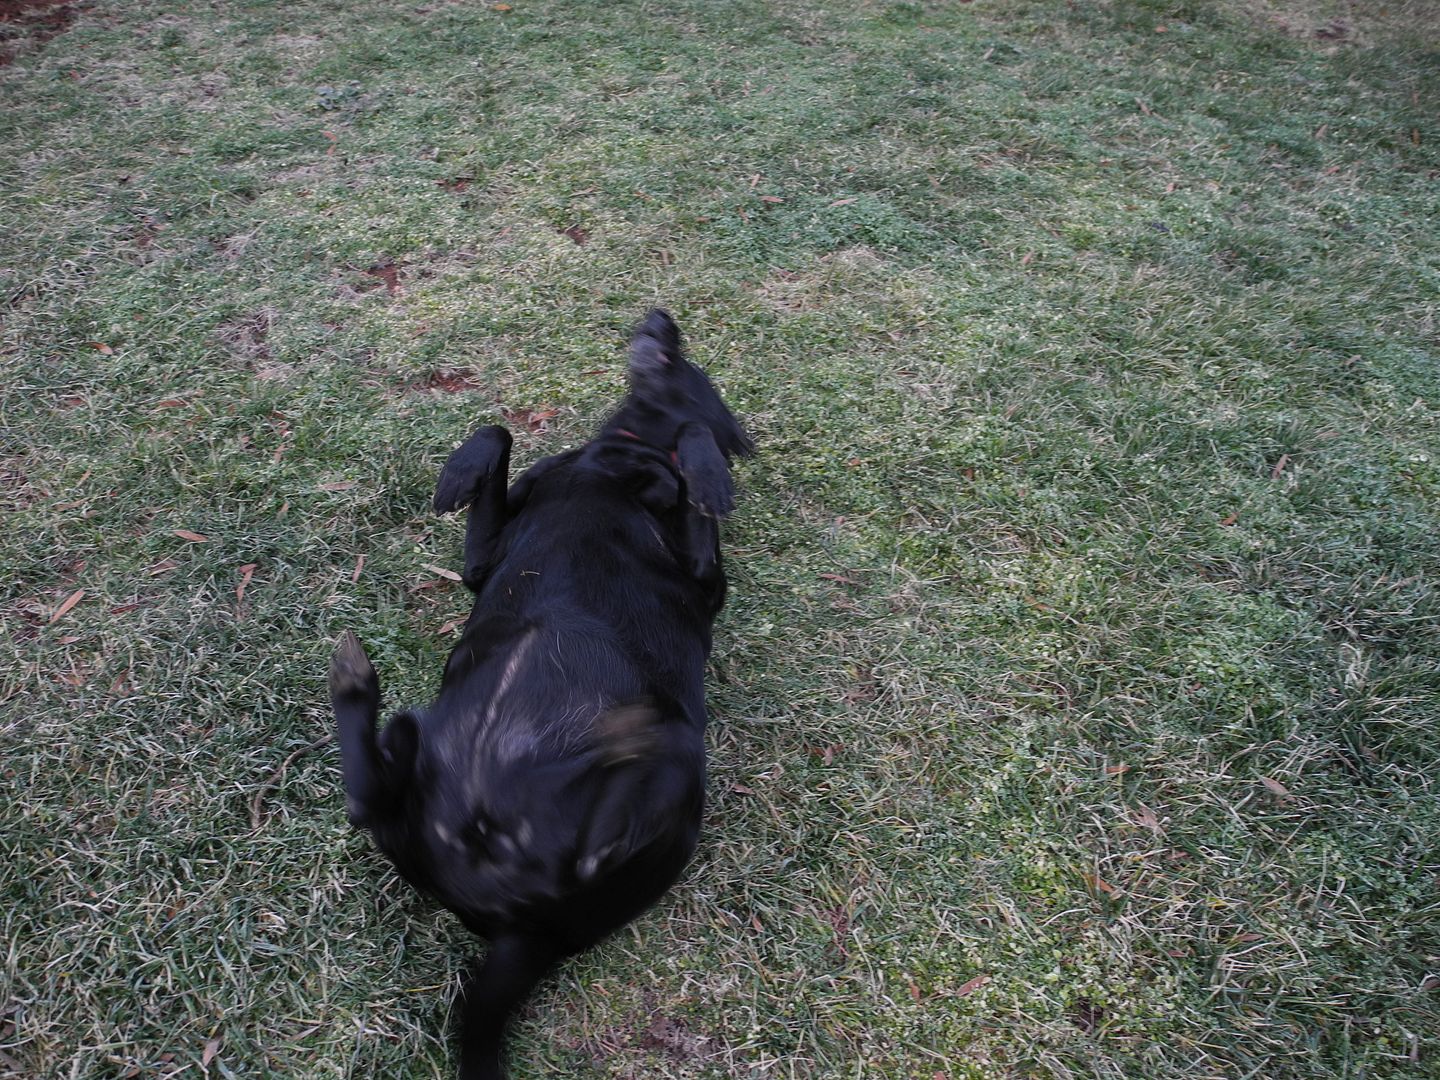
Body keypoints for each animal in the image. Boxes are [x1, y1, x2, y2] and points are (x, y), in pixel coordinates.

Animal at [328, 311, 754, 1080]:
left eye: (688, 363)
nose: (660, 318)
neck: (615, 456)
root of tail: (522, 926)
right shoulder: (481, 560)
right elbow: (496, 431)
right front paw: (459, 471)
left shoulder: (707, 581)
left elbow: (691, 446)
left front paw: (705, 472)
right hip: (417, 800)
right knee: (372, 796)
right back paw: (362, 690)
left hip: (669, 774)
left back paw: (628, 740)